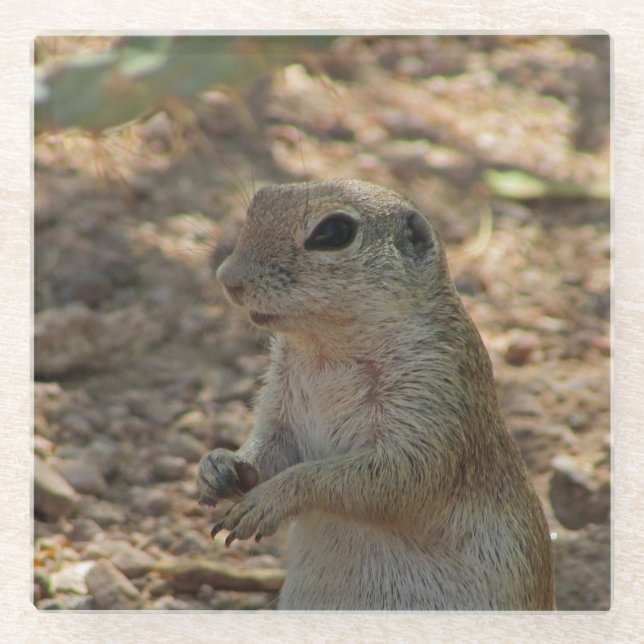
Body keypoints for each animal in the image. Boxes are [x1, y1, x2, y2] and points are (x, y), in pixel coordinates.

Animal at [196, 178, 555, 610]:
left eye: (333, 232)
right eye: (259, 201)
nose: (228, 278)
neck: (325, 351)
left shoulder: (433, 391)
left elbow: (393, 476)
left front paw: (271, 498)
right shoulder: (280, 403)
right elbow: (270, 448)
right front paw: (219, 465)